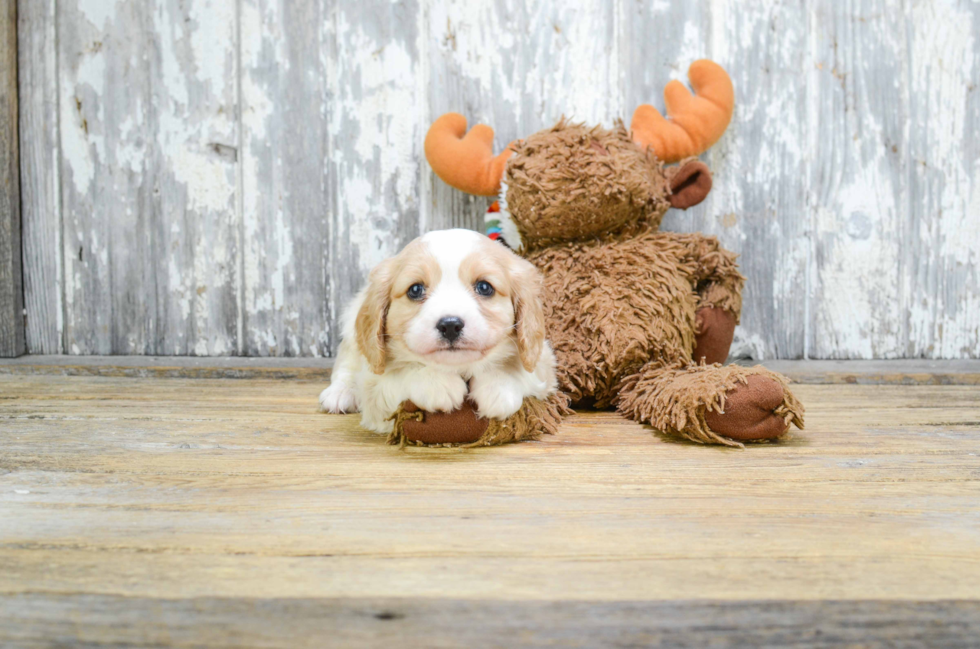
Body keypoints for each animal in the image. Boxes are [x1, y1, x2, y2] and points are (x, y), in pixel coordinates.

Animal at [318, 230, 556, 432]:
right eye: (415, 290)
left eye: (484, 287)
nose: (450, 325)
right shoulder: (374, 387)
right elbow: (397, 375)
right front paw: (436, 384)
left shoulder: (543, 362)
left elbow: (523, 371)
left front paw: (499, 388)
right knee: (347, 362)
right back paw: (340, 393)